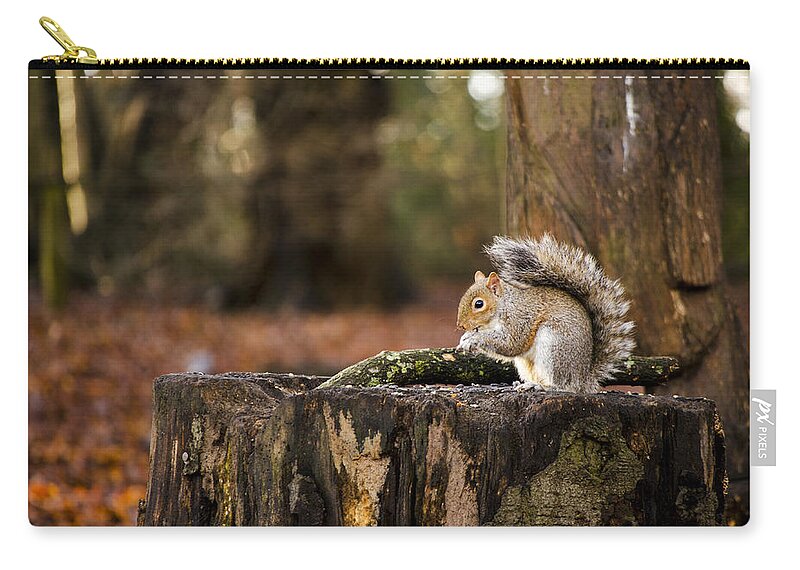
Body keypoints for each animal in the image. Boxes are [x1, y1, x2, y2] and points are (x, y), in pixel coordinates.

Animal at [460, 233, 636, 392]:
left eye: (479, 304)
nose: (461, 326)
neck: (503, 306)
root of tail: (583, 380)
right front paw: (466, 338)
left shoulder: (520, 318)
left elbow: (511, 343)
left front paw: (474, 339)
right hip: (528, 363)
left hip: (554, 347)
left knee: (563, 386)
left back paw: (542, 386)